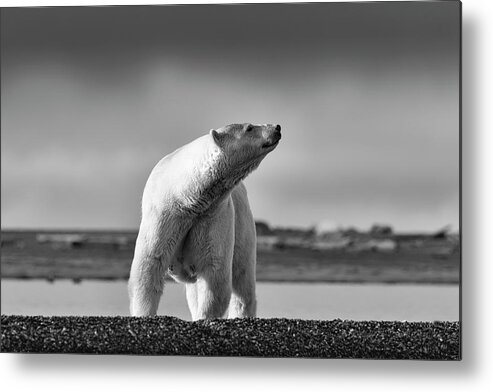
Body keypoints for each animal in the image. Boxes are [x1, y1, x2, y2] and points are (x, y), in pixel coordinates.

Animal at [127, 124, 280, 320]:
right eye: (249, 127)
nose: (277, 127)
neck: (186, 196)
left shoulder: (214, 215)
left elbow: (214, 270)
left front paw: (204, 317)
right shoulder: (164, 214)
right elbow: (150, 261)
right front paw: (144, 313)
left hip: (243, 223)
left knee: (243, 276)